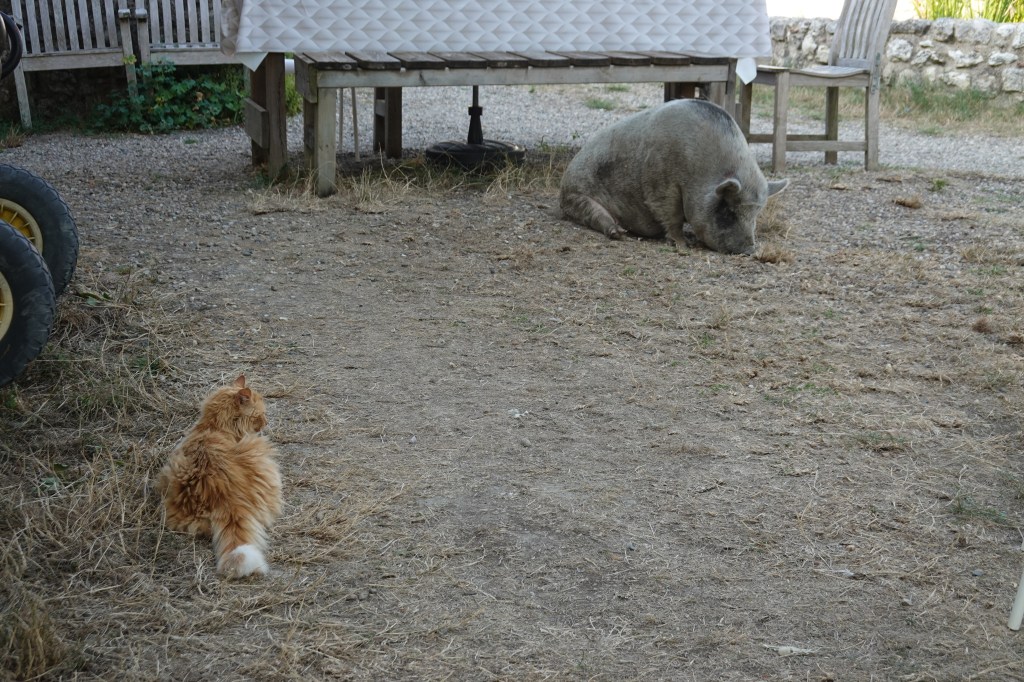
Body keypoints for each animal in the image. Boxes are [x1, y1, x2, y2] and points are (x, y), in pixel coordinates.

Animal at [559, 99, 788, 255]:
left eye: (755, 215)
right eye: (728, 212)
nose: (749, 250)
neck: (700, 172)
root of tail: (565, 181)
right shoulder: (661, 183)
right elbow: (671, 214)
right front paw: (683, 245)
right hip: (578, 198)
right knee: (598, 216)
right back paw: (619, 233)